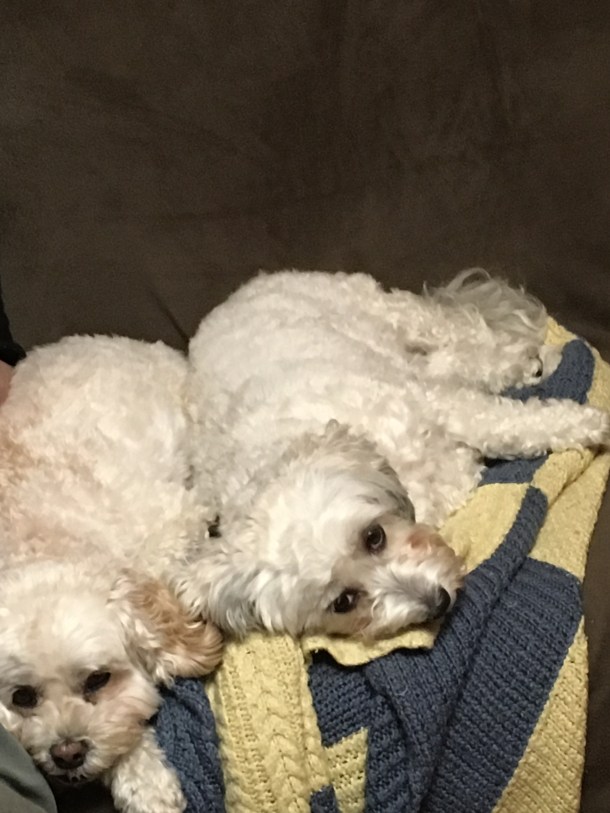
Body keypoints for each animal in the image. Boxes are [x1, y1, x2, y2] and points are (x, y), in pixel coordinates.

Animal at [177, 269, 608, 639]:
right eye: (343, 602)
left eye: (374, 537)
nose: (438, 601)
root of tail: (235, 296)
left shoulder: (439, 406)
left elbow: (509, 423)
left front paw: (593, 423)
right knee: (452, 361)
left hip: (395, 314)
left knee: (466, 336)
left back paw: (524, 360)